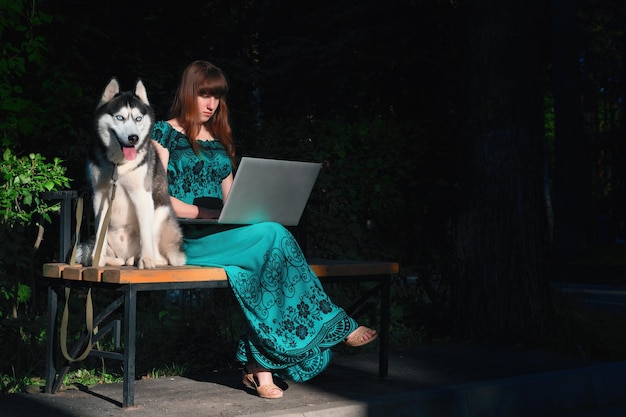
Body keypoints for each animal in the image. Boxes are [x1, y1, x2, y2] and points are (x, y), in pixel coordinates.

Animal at [78, 77, 185, 266]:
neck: (118, 166)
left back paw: (149, 259)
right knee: (117, 257)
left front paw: (147, 260)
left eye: (138, 118)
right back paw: (115, 260)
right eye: (120, 118)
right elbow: (99, 234)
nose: (133, 138)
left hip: (160, 213)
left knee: (161, 254)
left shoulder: (141, 194)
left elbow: (144, 233)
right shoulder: (99, 195)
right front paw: (97, 260)